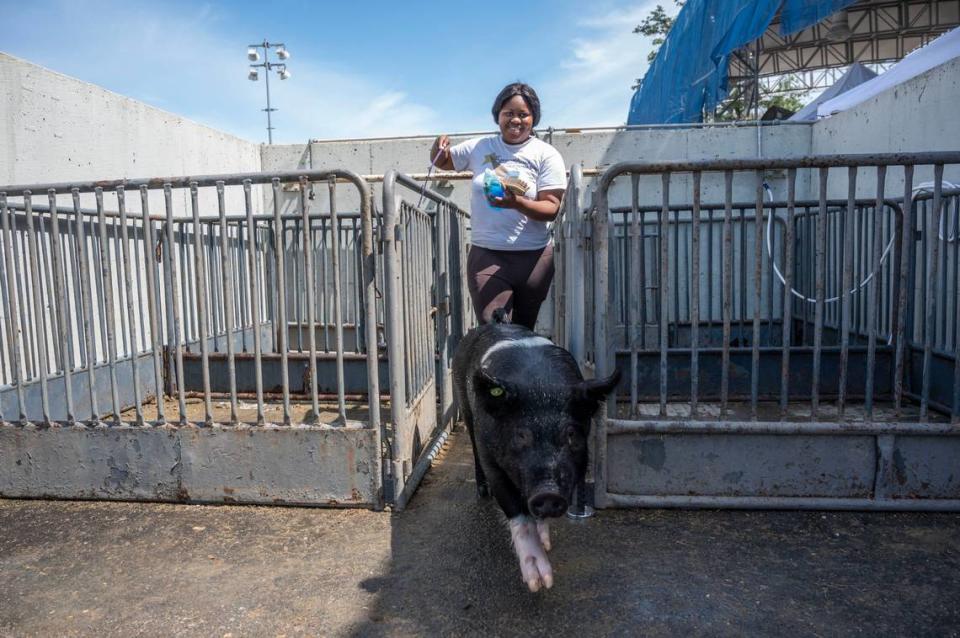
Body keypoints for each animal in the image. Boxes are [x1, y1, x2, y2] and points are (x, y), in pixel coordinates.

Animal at [452, 318, 620, 592]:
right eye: (521, 435)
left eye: (571, 434)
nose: (548, 493)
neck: (540, 386)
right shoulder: (493, 462)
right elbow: (516, 511)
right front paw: (539, 582)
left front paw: (546, 544)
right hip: (465, 408)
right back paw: (482, 492)